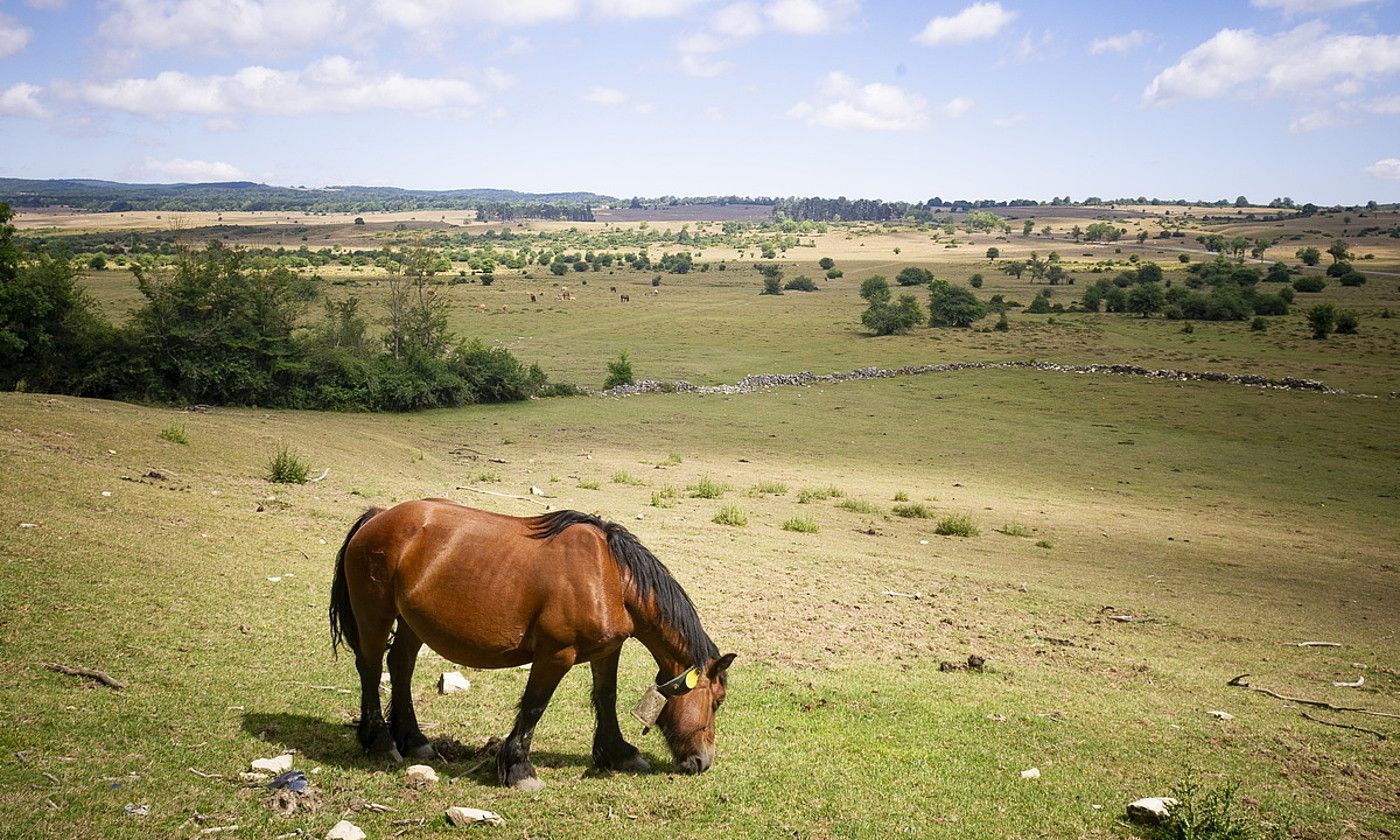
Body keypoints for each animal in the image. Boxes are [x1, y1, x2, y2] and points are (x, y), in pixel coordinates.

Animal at [329, 501, 739, 789]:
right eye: (717, 702)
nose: (703, 761)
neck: (611, 578)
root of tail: (378, 516)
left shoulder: (607, 652)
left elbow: (605, 697)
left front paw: (618, 753)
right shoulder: (555, 654)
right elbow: (533, 706)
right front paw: (519, 768)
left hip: (413, 623)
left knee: (400, 666)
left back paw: (414, 740)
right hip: (375, 615)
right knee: (370, 668)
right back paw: (381, 742)